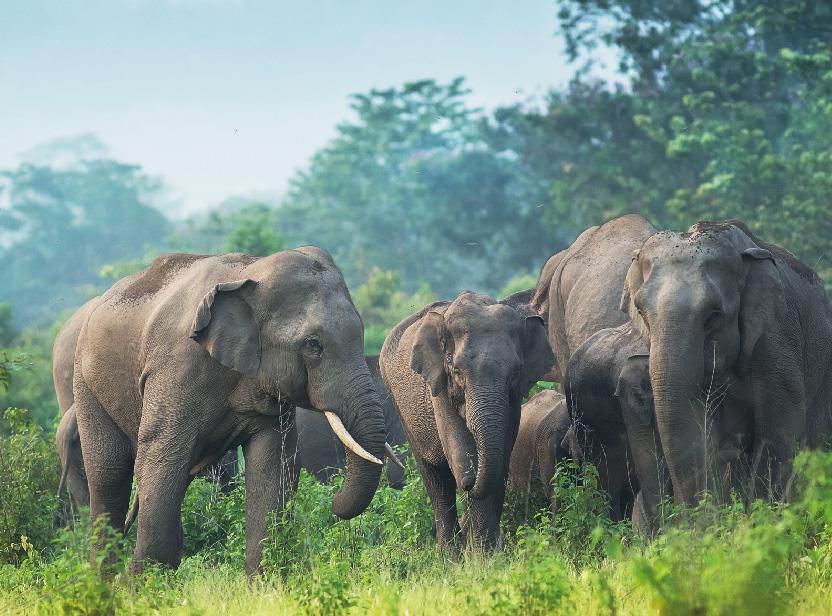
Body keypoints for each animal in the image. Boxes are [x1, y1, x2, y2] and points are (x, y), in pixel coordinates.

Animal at [72, 247, 389, 574]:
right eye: (314, 345)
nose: (334, 502)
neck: (249, 272)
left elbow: (273, 464)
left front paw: (263, 581)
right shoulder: (175, 370)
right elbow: (162, 456)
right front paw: (142, 580)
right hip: (85, 382)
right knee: (110, 475)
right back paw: (105, 578)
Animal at [380, 291, 553, 551]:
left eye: (515, 372)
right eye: (457, 371)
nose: (469, 481)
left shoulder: (513, 400)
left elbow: (502, 459)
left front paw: (489, 553)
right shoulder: (438, 387)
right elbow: (460, 451)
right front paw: (484, 556)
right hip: (399, 404)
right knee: (437, 482)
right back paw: (449, 556)